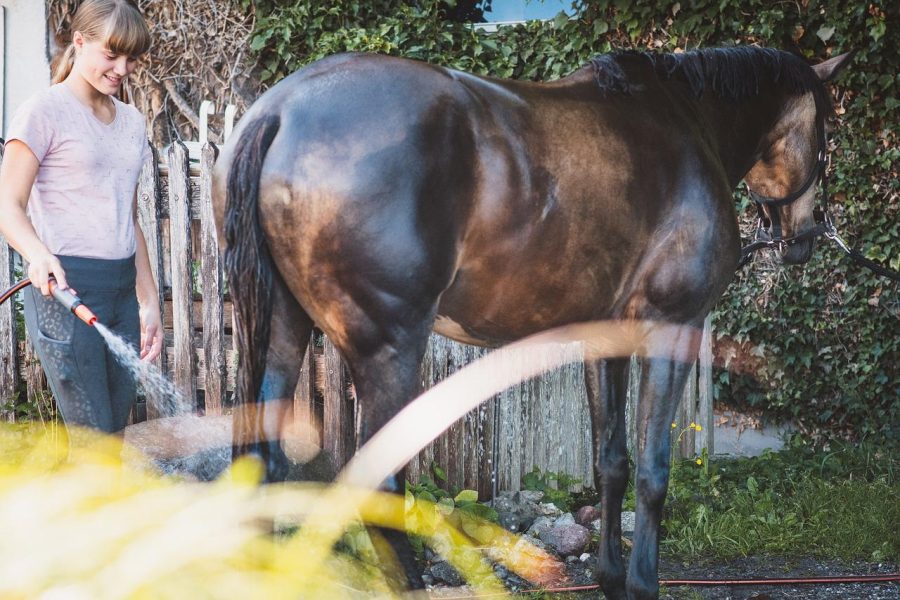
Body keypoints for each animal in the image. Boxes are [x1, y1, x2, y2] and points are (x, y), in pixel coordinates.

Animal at [212, 47, 852, 599]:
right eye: (826, 139)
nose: (803, 237)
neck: (688, 123)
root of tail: (278, 112)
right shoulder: (674, 327)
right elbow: (653, 470)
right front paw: (643, 583)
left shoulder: (605, 337)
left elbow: (611, 462)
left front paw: (611, 579)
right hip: (387, 351)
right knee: (380, 487)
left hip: (284, 332)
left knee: (264, 463)